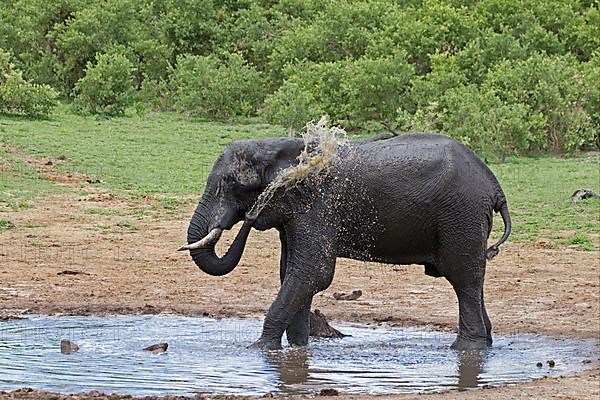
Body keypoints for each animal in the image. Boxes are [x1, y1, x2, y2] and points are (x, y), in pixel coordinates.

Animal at [179, 132, 510, 350]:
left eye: (231, 183)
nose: (248, 215)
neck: (278, 147)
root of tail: (495, 186)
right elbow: (292, 272)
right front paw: (298, 350)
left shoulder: (318, 204)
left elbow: (313, 272)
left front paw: (259, 350)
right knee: (473, 280)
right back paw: (484, 344)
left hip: (461, 215)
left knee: (463, 278)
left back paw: (466, 349)